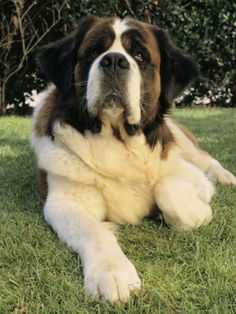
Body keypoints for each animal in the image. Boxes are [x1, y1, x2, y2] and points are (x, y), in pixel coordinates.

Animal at [30, 16, 235, 302]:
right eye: (93, 52)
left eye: (139, 55)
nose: (114, 60)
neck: (119, 142)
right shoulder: (65, 201)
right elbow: (94, 230)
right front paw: (112, 273)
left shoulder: (188, 174)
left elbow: (169, 190)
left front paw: (201, 213)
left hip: (181, 139)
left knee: (206, 160)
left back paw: (227, 177)